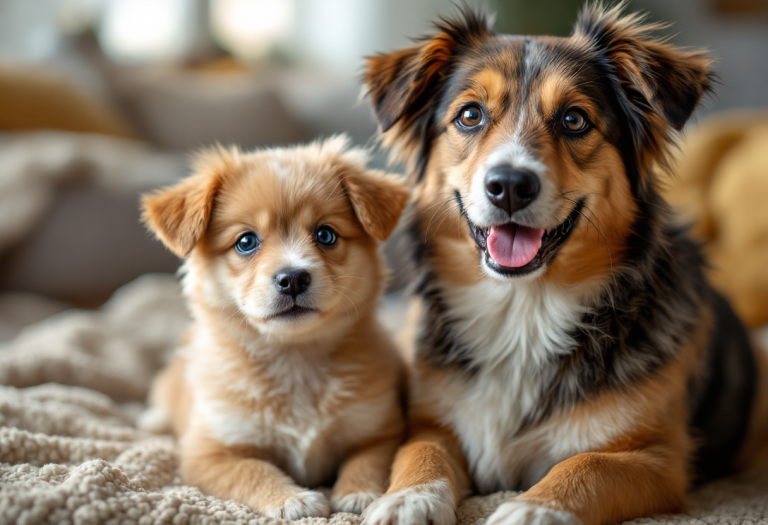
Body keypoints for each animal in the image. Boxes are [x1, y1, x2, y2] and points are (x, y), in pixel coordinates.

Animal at [141, 136, 412, 520]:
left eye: (325, 235)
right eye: (246, 242)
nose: (293, 278)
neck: (294, 358)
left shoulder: (379, 428)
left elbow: (367, 459)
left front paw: (358, 492)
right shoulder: (209, 453)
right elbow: (254, 471)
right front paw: (292, 499)